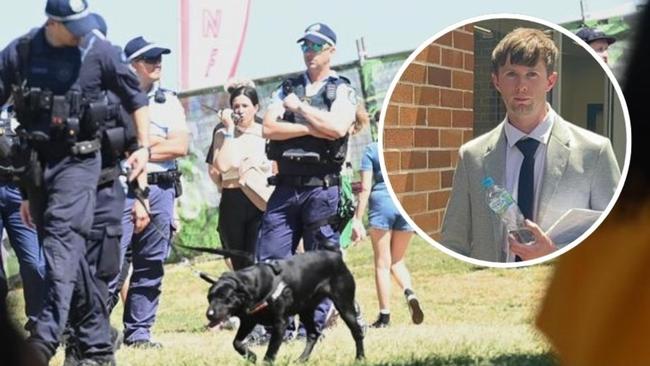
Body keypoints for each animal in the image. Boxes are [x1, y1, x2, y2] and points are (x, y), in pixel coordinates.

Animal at [197, 250, 362, 362]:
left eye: (225, 298)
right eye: (209, 298)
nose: (209, 314)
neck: (253, 285)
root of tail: (336, 255)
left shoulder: (280, 324)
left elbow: (269, 354)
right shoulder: (248, 321)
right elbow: (236, 343)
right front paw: (251, 357)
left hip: (344, 305)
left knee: (357, 332)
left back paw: (360, 358)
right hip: (305, 311)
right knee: (313, 334)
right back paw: (301, 360)